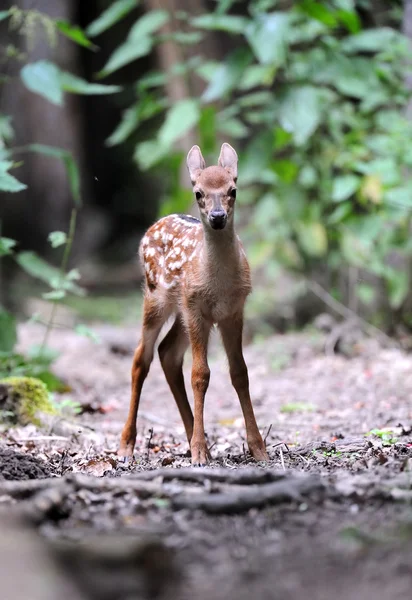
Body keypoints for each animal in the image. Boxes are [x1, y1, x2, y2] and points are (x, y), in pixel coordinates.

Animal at [117, 144, 268, 464]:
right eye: (198, 192)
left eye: (233, 189)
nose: (217, 216)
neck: (219, 284)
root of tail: (155, 224)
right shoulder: (197, 308)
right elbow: (200, 375)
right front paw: (199, 453)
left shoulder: (233, 311)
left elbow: (240, 372)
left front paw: (258, 447)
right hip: (156, 297)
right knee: (140, 358)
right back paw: (127, 445)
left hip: (184, 311)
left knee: (167, 352)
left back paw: (194, 440)